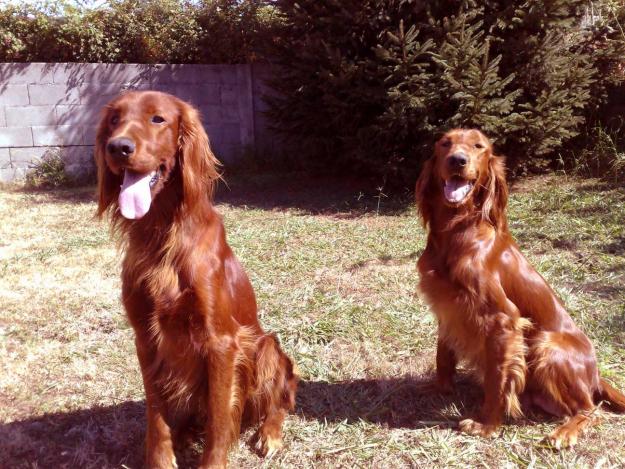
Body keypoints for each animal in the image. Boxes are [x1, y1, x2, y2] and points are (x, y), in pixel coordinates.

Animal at [94, 89, 298, 466]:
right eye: (114, 120)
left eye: (158, 118)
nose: (118, 147)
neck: (163, 232)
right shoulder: (145, 338)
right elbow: (155, 411)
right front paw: (160, 459)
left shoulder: (220, 343)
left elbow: (219, 419)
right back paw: (185, 434)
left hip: (265, 346)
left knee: (281, 398)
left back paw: (269, 435)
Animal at [414, 128, 624, 446]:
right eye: (445, 143)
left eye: (479, 146)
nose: (457, 160)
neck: (457, 230)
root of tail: (596, 375)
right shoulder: (447, 308)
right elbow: (443, 355)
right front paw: (440, 388)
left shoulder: (502, 321)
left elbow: (497, 380)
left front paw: (487, 425)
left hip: (545, 345)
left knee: (590, 409)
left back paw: (564, 432)